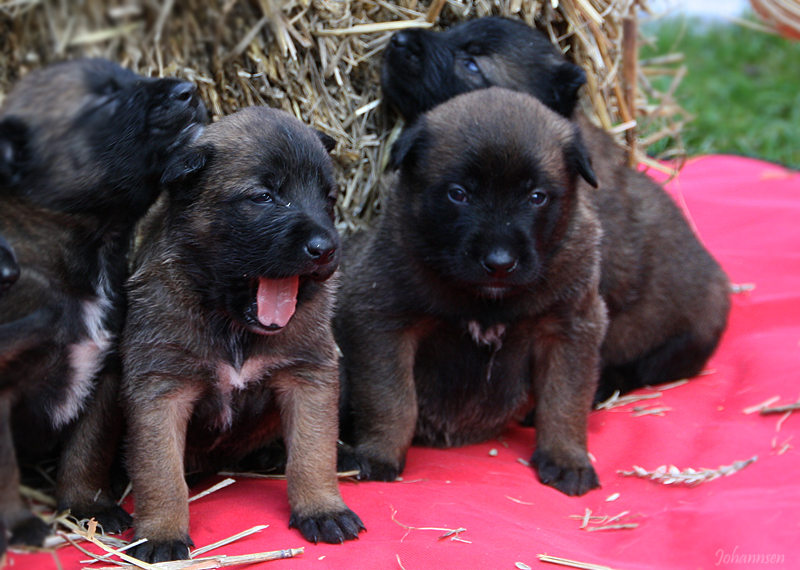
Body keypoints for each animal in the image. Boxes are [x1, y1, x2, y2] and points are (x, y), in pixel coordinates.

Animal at [0, 58, 206, 545]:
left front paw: (87, 504)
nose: (189, 90)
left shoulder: (105, 373)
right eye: (104, 100)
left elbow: (86, 451)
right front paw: (19, 526)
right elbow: (4, 470)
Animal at [120, 106, 364, 563]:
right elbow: (160, 472)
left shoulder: (309, 375)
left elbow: (313, 452)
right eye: (264, 197)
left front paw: (322, 508)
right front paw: (161, 533)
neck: (231, 323)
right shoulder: (160, 387)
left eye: (329, 198)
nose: (325, 249)